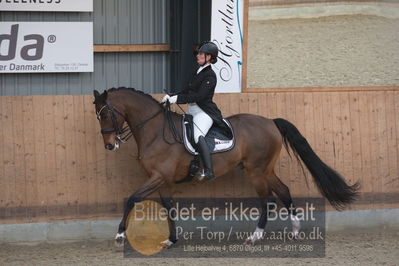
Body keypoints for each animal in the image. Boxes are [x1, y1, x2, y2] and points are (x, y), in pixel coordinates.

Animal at [93, 88, 360, 248]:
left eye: (105, 114)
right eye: (97, 116)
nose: (109, 145)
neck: (156, 131)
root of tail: (270, 122)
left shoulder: (158, 177)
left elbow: (132, 198)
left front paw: (119, 235)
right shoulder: (162, 180)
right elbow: (168, 207)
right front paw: (171, 239)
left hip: (256, 171)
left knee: (267, 200)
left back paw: (255, 236)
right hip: (266, 169)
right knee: (283, 191)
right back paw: (295, 230)